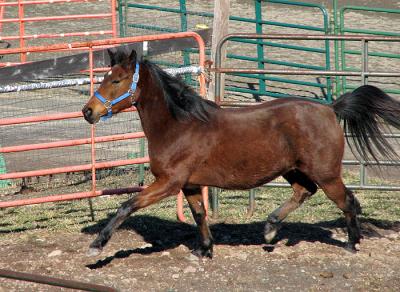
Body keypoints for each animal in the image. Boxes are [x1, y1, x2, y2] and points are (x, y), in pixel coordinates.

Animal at [83, 49, 400, 258]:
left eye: (116, 80)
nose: (88, 112)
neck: (179, 126)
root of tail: (331, 109)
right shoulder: (190, 185)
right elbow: (199, 215)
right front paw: (204, 250)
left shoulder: (169, 183)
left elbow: (127, 205)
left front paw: (97, 245)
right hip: (293, 169)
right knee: (305, 191)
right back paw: (270, 229)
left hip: (327, 174)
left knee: (347, 201)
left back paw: (351, 243)